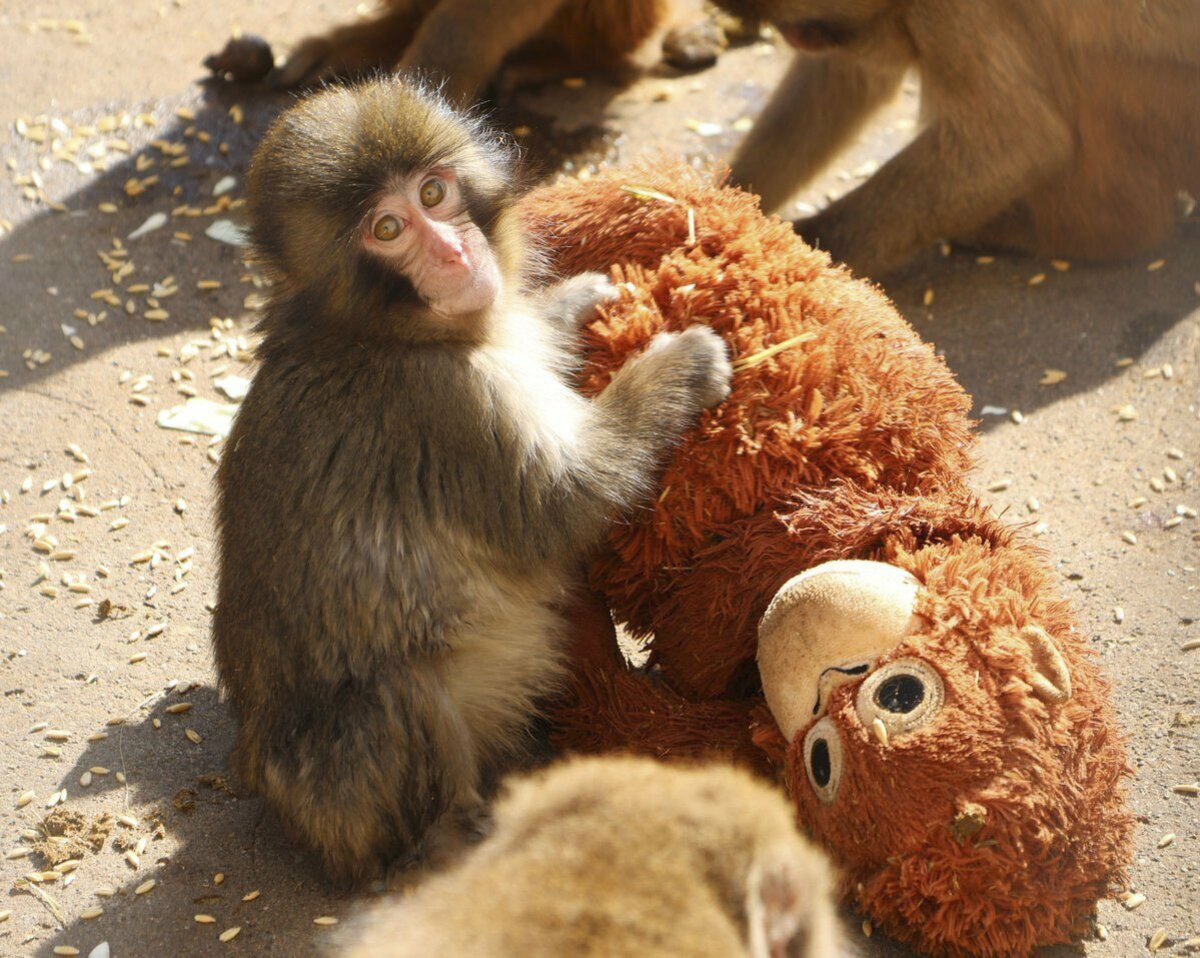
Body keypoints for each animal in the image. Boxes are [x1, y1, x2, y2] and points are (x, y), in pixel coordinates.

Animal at [212, 76, 732, 885]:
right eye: (388, 228)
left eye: (435, 192)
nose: (456, 252)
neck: (380, 331)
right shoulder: (446, 405)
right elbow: (563, 505)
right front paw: (678, 367)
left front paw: (570, 303)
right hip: (346, 795)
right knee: (399, 693)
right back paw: (455, 838)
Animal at [719, 0, 1200, 277]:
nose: (794, 37)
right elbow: (848, 76)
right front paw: (726, 199)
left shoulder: (953, 7)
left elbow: (1018, 141)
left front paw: (798, 258)